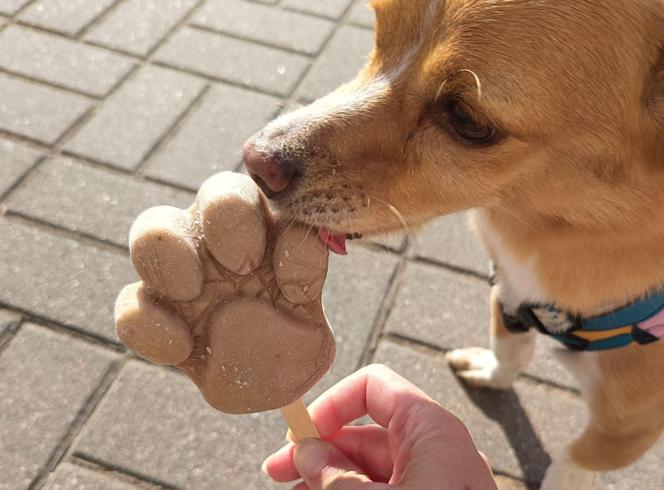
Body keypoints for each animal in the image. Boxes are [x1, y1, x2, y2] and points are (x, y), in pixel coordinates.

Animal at [243, 1, 664, 488]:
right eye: (378, 32)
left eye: (467, 119)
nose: (255, 162)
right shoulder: (510, 291)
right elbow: (509, 348)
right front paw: (491, 371)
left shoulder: (628, 424)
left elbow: (573, 460)